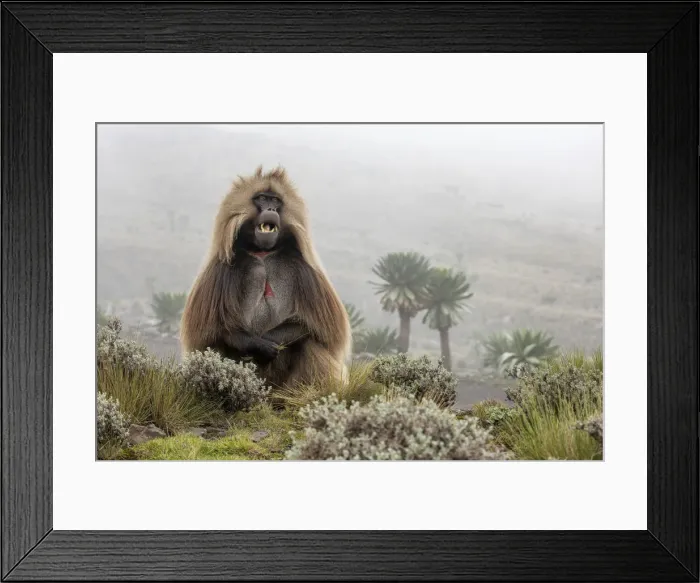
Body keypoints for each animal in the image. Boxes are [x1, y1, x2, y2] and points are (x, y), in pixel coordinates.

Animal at [180, 165, 352, 388]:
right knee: (215, 348)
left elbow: (317, 328)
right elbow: (215, 331)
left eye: (276, 201)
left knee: (309, 344)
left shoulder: (305, 269)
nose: (271, 209)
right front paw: (259, 345)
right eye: (262, 198)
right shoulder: (220, 269)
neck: (262, 253)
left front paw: (268, 340)